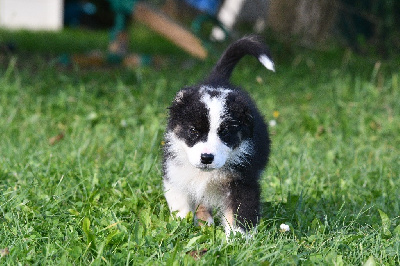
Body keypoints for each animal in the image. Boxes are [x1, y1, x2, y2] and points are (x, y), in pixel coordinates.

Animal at [162, 35, 276, 237]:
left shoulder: (242, 180)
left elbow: (241, 211)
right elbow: (180, 201)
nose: (207, 158)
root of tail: (218, 80)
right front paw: (183, 225)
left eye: (226, 133)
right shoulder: (175, 172)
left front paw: (239, 239)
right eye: (193, 131)